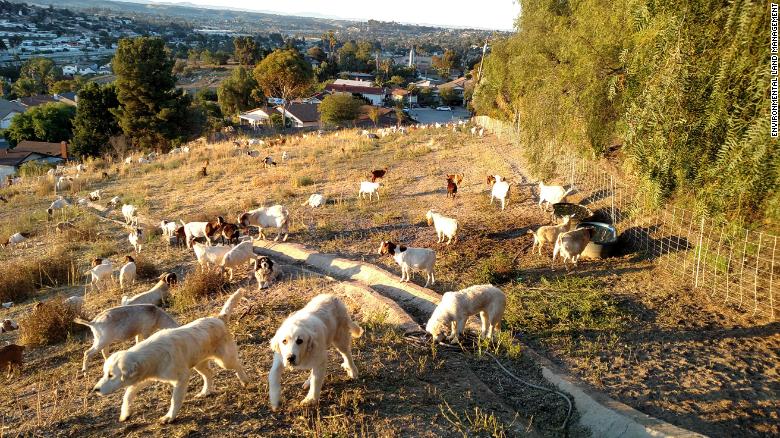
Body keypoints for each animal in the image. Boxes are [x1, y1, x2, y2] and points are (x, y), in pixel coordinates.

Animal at [91, 290, 250, 422]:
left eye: (111, 375)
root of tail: (218, 318)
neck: (153, 355)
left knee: (237, 364)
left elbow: (175, 400)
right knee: (209, 374)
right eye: (105, 374)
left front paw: (169, 417)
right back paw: (205, 392)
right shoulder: (145, 378)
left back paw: (244, 380)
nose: (95, 390)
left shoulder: (182, 378)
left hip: (225, 360)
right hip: (198, 363)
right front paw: (125, 414)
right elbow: (127, 394)